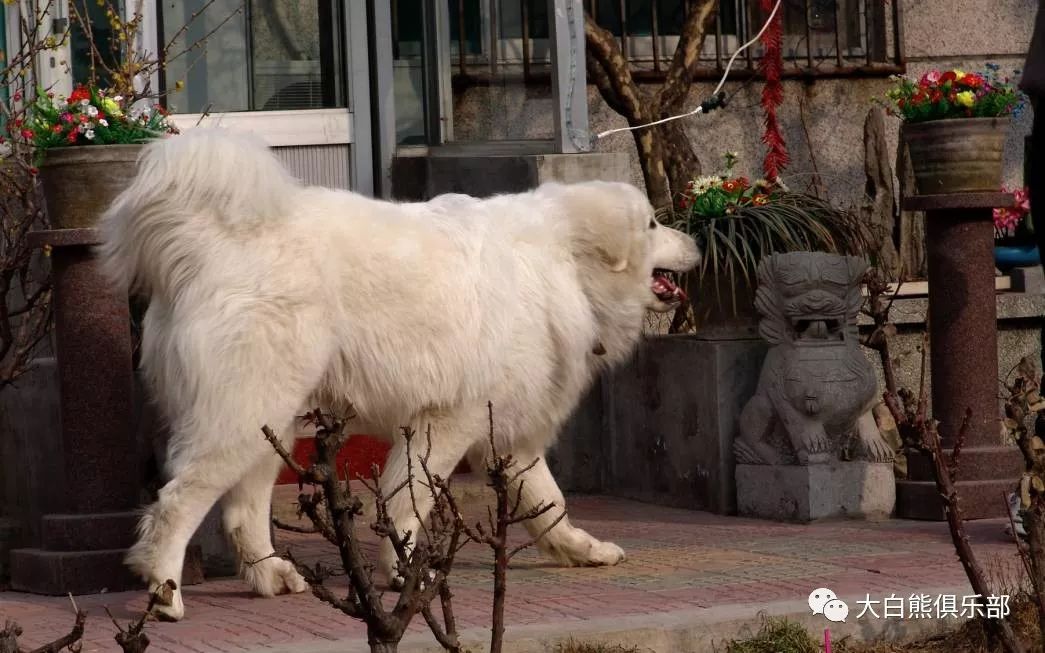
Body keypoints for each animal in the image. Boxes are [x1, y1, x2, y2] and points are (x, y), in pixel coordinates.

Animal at [96, 128, 702, 622]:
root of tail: (208, 243)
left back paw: (270, 576)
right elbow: (409, 501)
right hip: (242, 416)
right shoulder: (447, 421)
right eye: (653, 224)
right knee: (178, 503)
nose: (695, 239)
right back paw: (165, 593)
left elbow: (550, 505)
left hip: (270, 424)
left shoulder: (505, 437)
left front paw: (581, 551)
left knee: (243, 511)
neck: (564, 266)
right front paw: (406, 574)